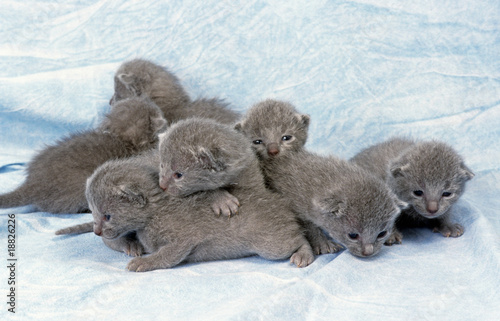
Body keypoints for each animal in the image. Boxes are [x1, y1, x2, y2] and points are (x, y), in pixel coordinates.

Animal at [56, 119, 314, 270]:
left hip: (271, 245)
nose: (96, 229)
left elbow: (167, 256)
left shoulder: (183, 240)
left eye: (108, 215)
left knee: (298, 239)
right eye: (93, 212)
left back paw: (304, 254)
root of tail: (281, 203)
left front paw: (144, 262)